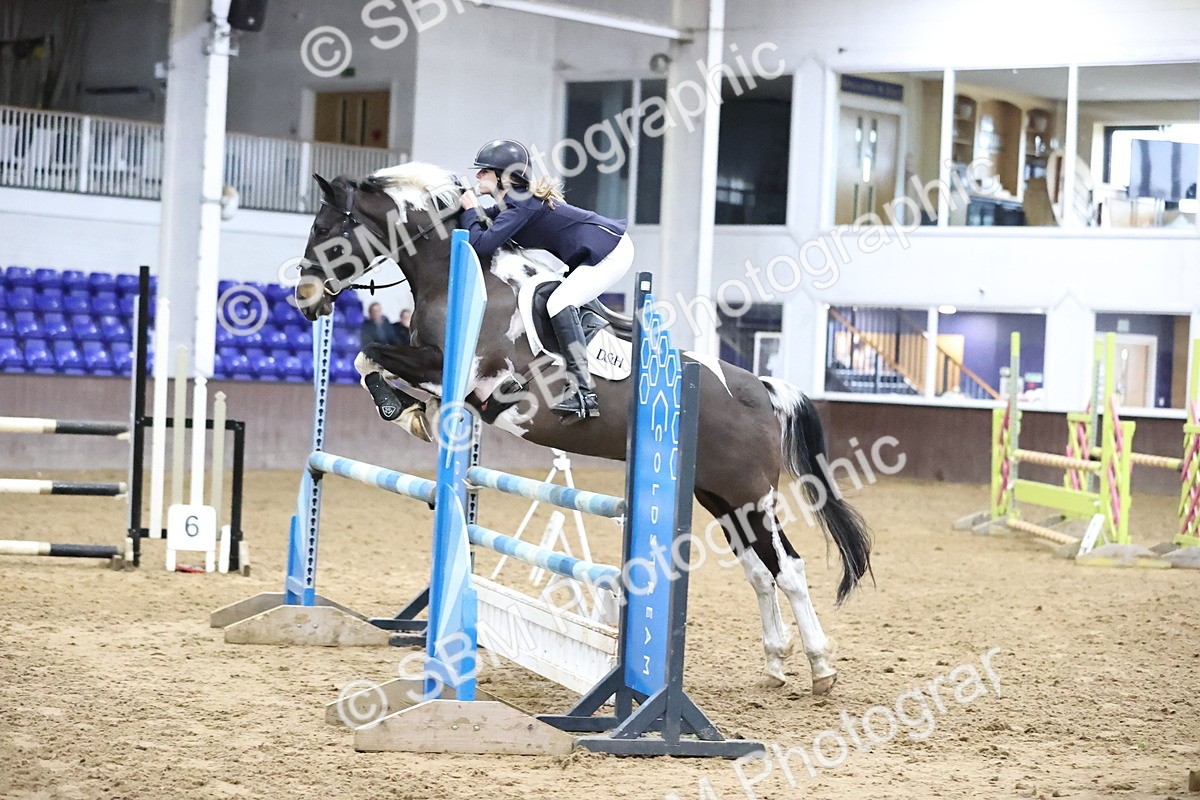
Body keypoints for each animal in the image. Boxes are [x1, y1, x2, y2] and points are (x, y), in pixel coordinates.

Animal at [292, 162, 872, 695]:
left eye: (324, 227)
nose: (304, 298)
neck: (457, 269)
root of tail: (760, 388)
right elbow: (371, 360)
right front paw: (410, 412)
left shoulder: (466, 372)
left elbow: (372, 352)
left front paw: (402, 409)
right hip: (717, 494)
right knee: (758, 569)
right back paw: (775, 663)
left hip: (751, 494)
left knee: (788, 568)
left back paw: (821, 667)